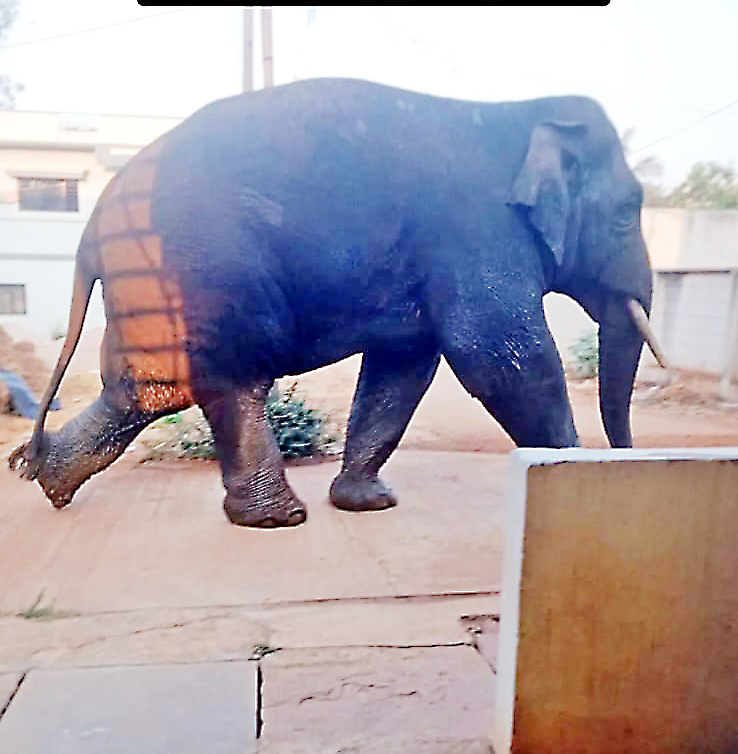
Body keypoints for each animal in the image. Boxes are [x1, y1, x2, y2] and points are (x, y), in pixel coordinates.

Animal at [9, 78, 665, 528]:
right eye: (627, 211)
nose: (625, 461)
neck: (524, 111)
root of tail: (93, 226)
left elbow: (404, 364)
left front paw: (367, 503)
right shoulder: (475, 231)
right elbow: (502, 357)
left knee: (141, 391)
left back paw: (47, 482)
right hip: (204, 274)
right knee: (233, 381)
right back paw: (276, 519)